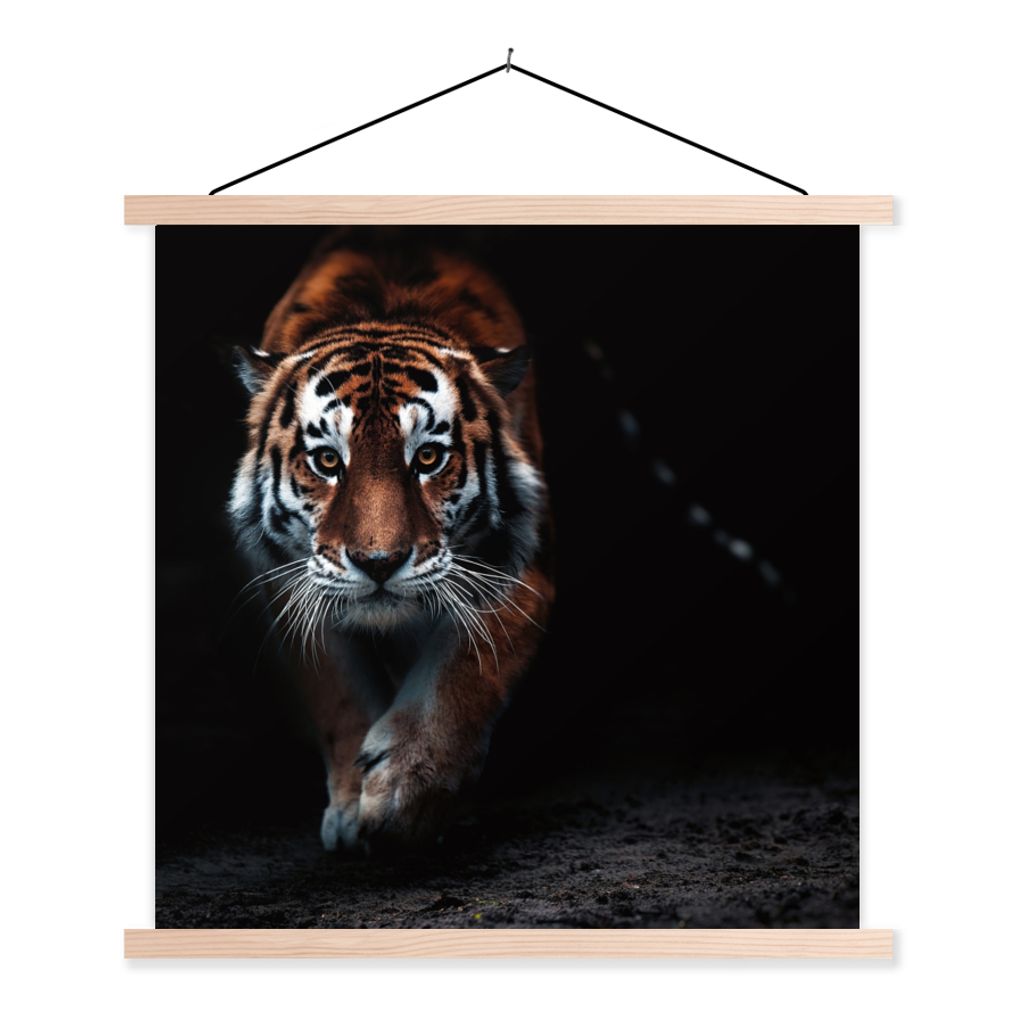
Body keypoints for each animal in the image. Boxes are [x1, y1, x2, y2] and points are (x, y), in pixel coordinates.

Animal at [229, 235, 554, 852]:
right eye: (327, 461)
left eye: (427, 457)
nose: (378, 563)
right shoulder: (290, 582)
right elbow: (339, 691)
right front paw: (352, 810)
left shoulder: (520, 570)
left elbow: (464, 671)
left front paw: (406, 793)